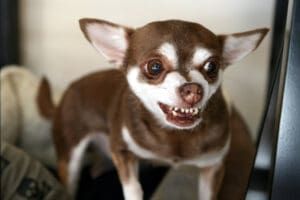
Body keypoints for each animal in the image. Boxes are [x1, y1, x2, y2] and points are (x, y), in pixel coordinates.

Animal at [41, 18, 268, 198]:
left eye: (212, 66)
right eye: (155, 67)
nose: (193, 89)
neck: (175, 136)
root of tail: (66, 93)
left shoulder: (213, 167)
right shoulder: (122, 151)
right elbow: (133, 188)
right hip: (70, 156)